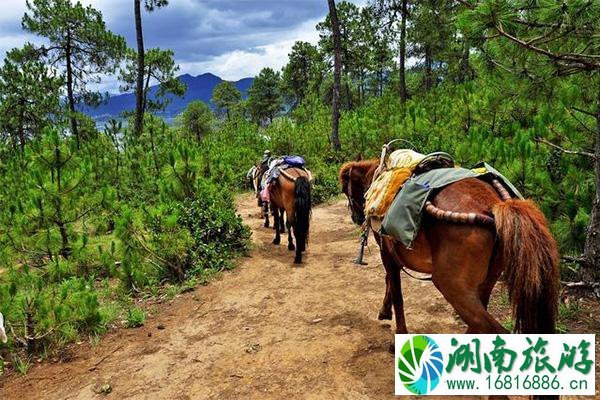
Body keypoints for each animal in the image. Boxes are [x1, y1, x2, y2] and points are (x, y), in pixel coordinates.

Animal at [340, 159, 560, 340]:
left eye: (346, 190)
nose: (356, 218)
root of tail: (494, 205)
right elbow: (389, 283)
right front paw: (385, 312)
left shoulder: (387, 255)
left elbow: (397, 294)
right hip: (486, 281)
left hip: (451, 286)